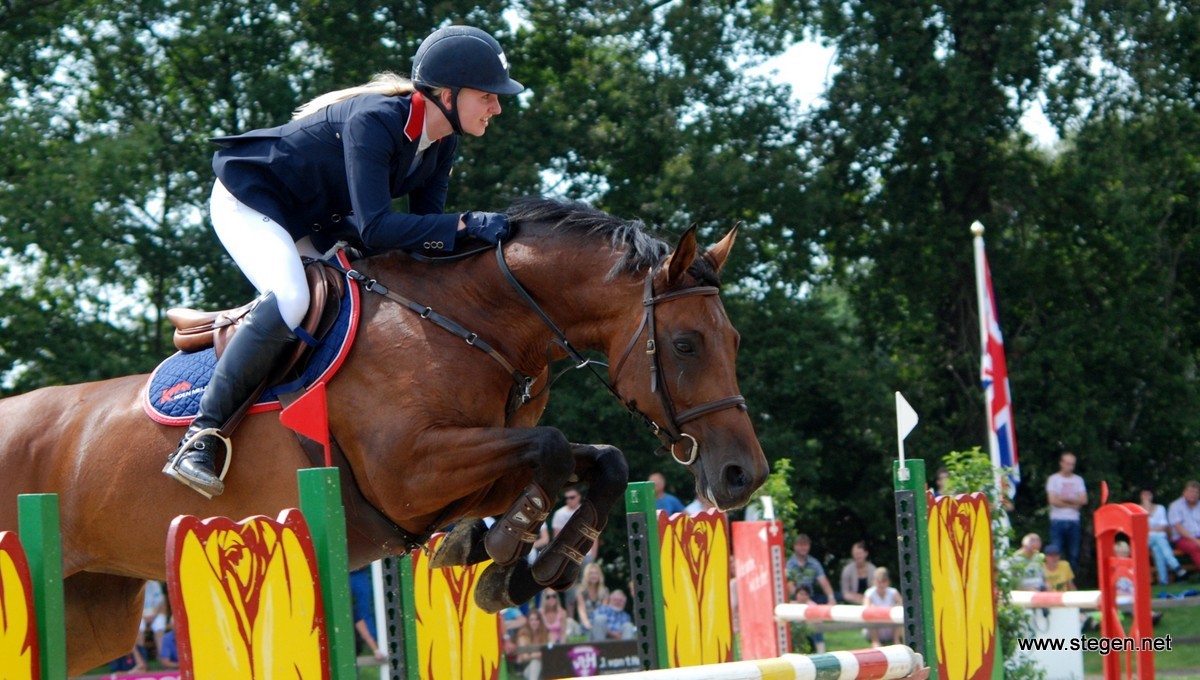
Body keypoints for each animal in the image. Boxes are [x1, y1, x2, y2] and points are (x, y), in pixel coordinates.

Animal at [0, 197, 768, 676]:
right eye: (688, 344)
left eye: (734, 340)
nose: (746, 477)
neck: (472, 320)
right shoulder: (409, 472)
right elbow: (549, 451)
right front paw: (501, 553)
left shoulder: (464, 470)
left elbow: (595, 462)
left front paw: (520, 562)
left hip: (95, 612)